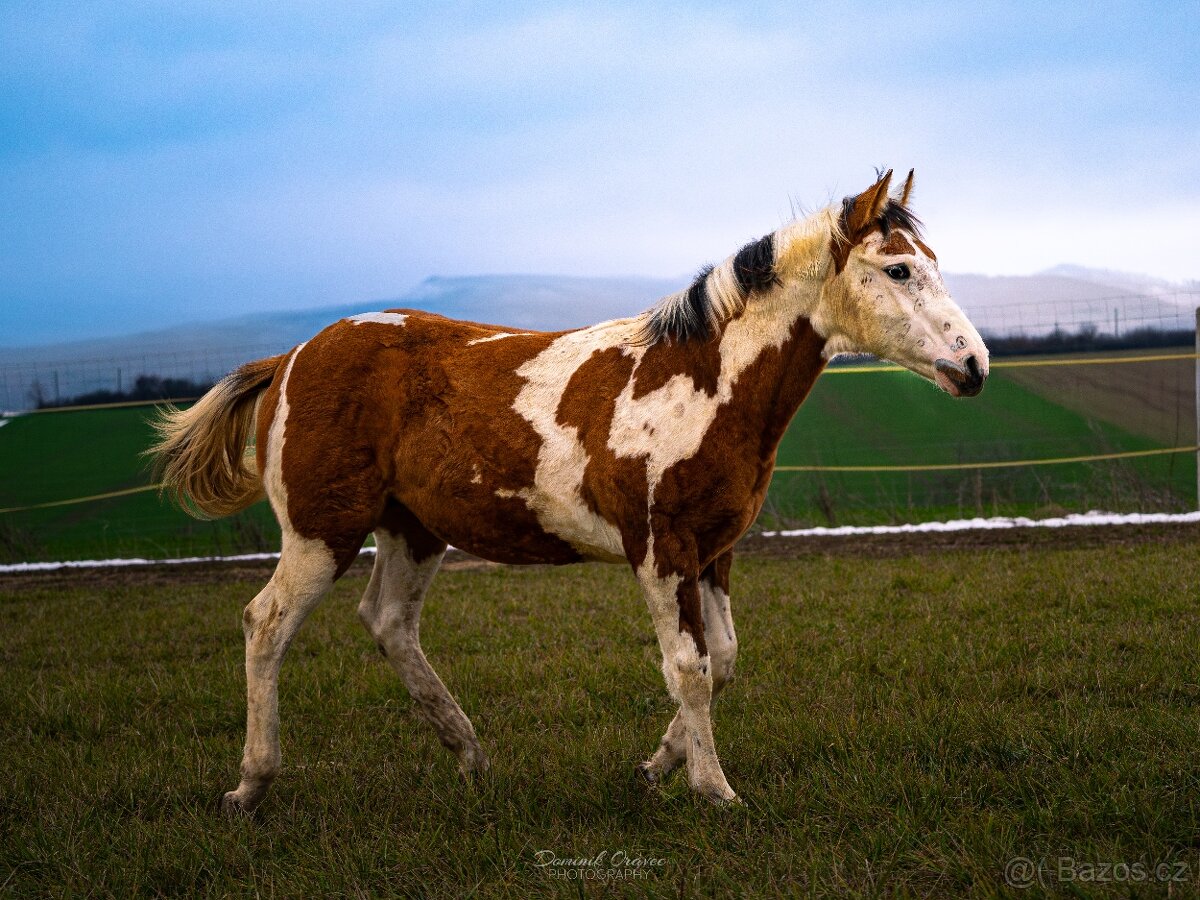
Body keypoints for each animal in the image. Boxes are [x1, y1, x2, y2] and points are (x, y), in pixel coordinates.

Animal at [151, 169, 988, 812]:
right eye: (899, 270)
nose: (974, 363)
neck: (699, 380)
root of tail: (290, 355)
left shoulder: (714, 552)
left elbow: (722, 660)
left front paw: (654, 769)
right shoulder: (659, 548)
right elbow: (688, 668)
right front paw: (715, 792)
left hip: (413, 530)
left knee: (388, 623)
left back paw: (471, 758)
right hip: (322, 530)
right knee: (266, 624)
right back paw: (251, 786)